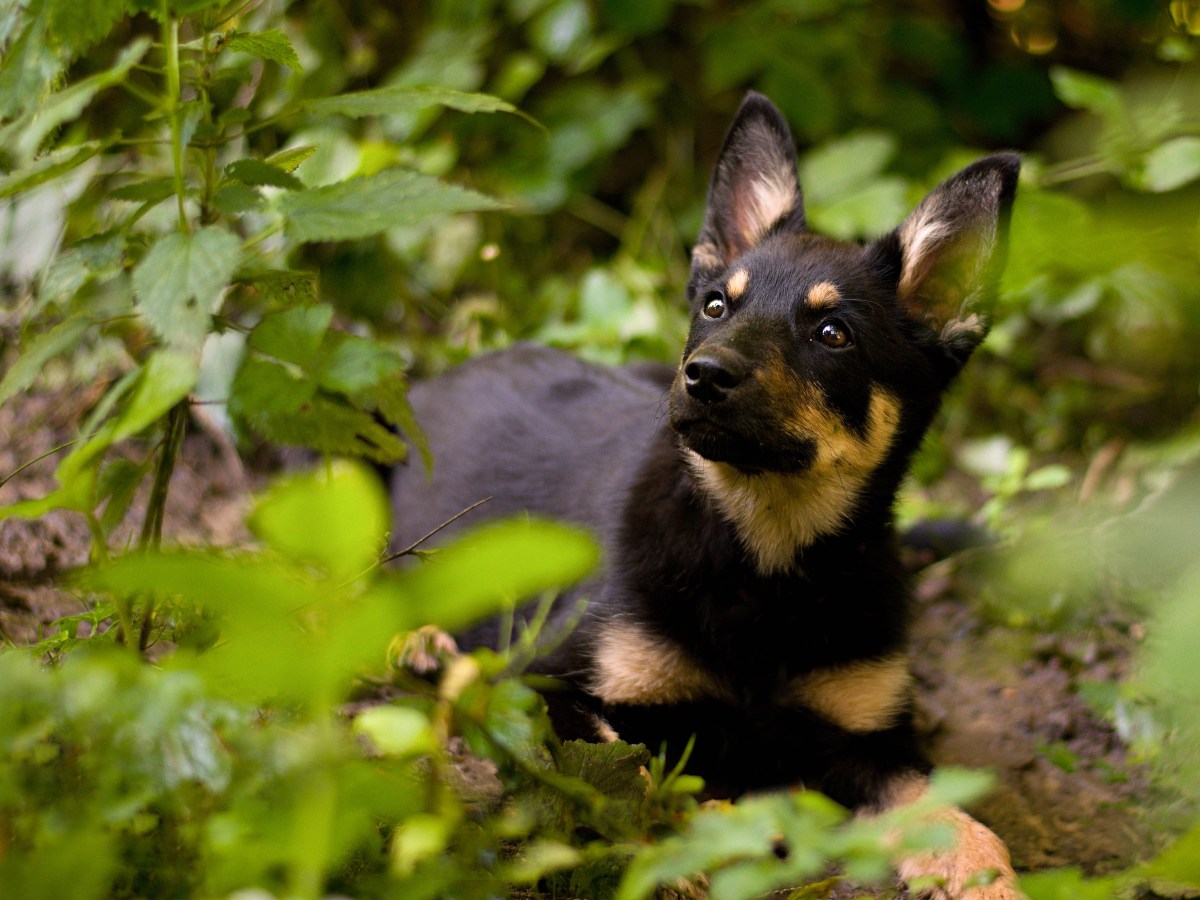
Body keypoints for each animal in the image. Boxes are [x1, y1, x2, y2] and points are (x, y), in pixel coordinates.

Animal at [391, 93, 1022, 900]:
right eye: (718, 305)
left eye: (833, 332)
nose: (705, 375)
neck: (765, 564)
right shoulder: (543, 683)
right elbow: (631, 773)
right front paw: (694, 844)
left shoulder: (867, 737)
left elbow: (947, 811)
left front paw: (986, 872)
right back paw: (422, 644)